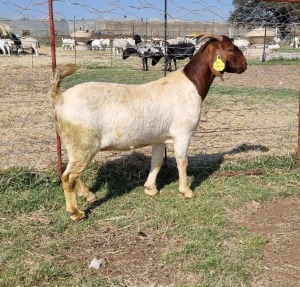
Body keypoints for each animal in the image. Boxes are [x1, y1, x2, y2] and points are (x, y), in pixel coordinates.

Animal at [49, 32, 246, 222]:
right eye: (229, 49)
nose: (245, 65)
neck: (191, 84)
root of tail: (60, 98)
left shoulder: (159, 138)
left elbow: (157, 162)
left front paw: (150, 188)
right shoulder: (183, 134)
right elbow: (182, 162)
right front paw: (186, 191)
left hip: (74, 144)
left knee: (72, 171)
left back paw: (88, 195)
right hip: (83, 141)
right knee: (68, 177)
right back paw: (76, 212)